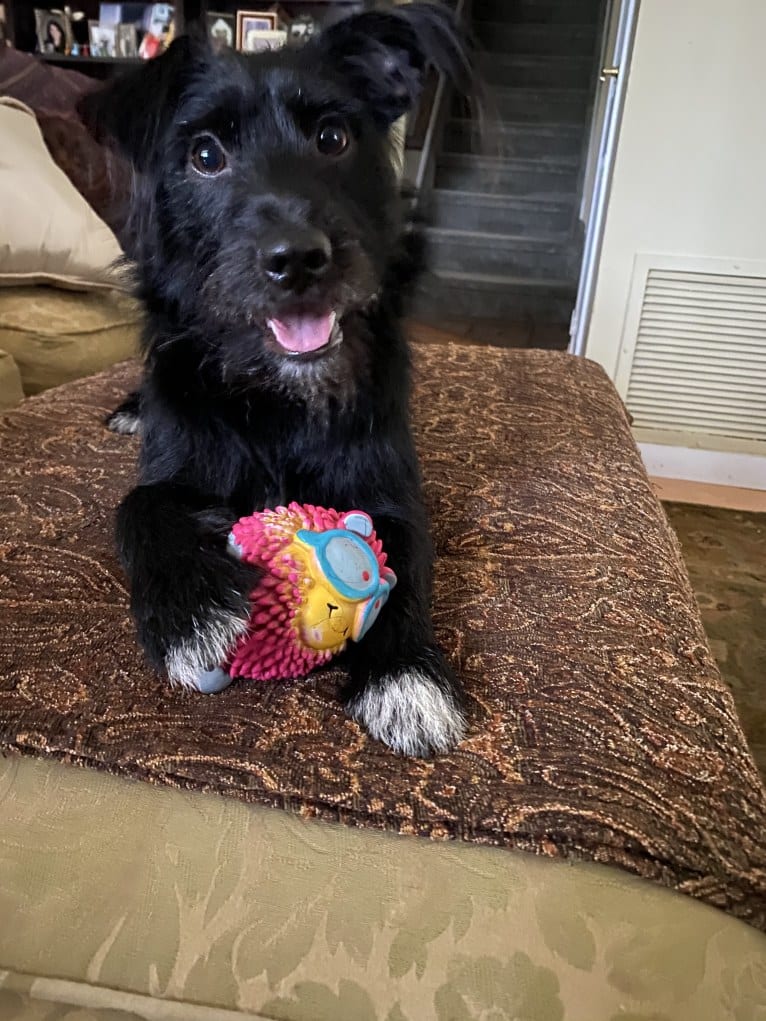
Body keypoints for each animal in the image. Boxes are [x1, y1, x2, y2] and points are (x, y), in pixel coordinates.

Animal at [99, 3, 473, 755]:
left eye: (333, 137)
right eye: (205, 155)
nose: (297, 259)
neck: (277, 398)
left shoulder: (389, 486)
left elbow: (408, 557)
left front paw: (406, 675)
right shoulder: (172, 460)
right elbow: (137, 506)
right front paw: (189, 611)